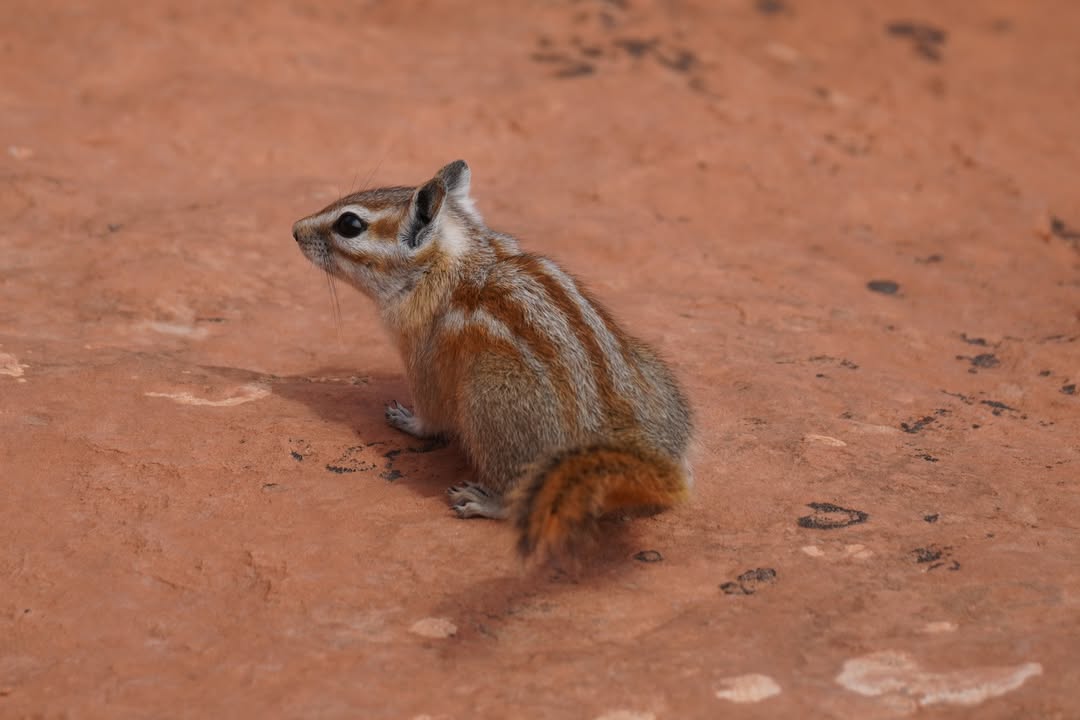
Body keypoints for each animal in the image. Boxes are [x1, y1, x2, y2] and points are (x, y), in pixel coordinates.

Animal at [292, 160, 693, 561]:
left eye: (350, 224)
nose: (295, 230)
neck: (456, 258)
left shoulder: (422, 361)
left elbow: (430, 415)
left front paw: (407, 420)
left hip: (486, 401)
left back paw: (482, 502)